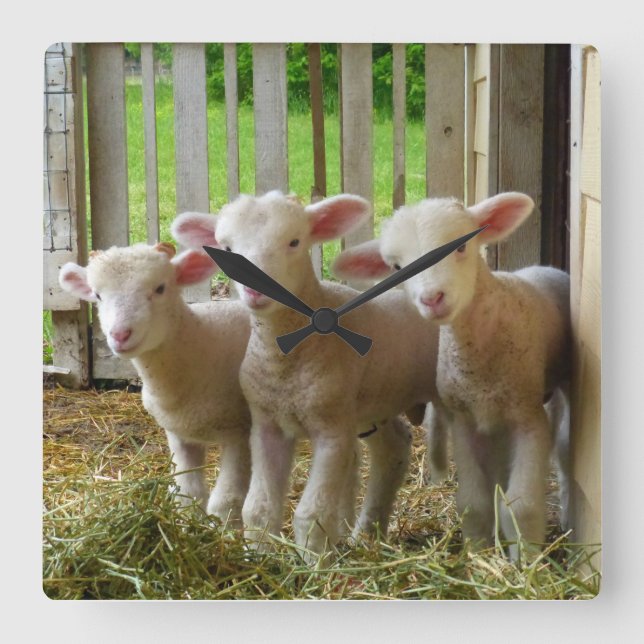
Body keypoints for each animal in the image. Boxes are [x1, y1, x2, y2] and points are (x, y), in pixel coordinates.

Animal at [58, 242, 252, 527]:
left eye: (160, 288)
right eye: (97, 295)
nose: (120, 335)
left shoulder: (241, 432)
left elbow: (225, 503)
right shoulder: (179, 434)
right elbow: (188, 493)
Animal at [172, 192, 440, 559]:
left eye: (294, 242)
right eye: (226, 249)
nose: (256, 291)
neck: (285, 365)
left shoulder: (332, 428)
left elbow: (311, 514)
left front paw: (313, 563)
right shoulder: (266, 425)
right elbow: (257, 508)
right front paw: (260, 557)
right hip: (374, 402)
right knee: (394, 447)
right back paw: (367, 534)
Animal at [332, 192, 571, 559]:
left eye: (461, 247)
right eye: (397, 268)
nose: (432, 298)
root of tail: (543, 266)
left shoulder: (528, 417)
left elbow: (522, 506)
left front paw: (526, 562)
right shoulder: (465, 420)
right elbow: (473, 503)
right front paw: (478, 553)